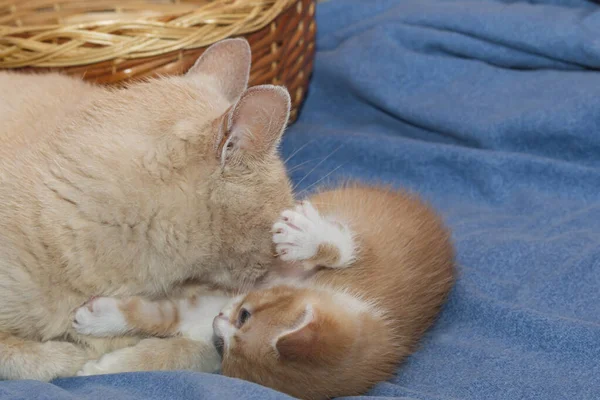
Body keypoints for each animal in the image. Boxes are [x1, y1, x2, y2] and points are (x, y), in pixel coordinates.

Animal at [0, 39, 294, 380]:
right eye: (276, 231)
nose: (275, 271)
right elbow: (32, 360)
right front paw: (74, 357)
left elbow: (184, 352)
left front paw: (109, 361)